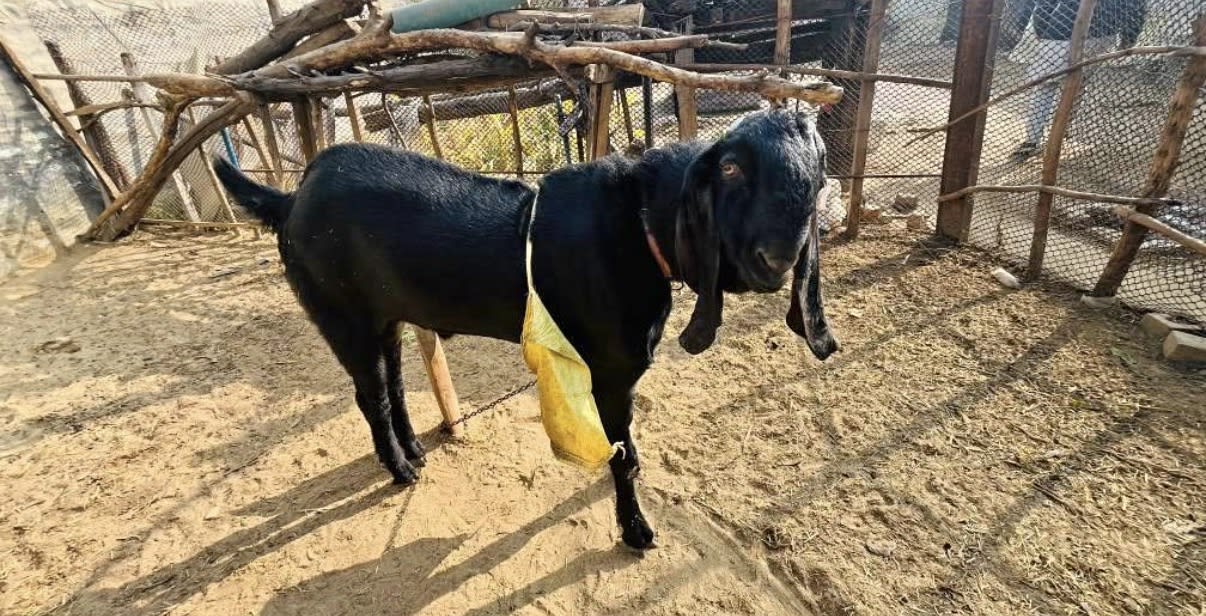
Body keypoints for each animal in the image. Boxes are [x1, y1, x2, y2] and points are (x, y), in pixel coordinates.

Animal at [214, 108, 837, 551]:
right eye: (731, 167)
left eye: (816, 173)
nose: (776, 258)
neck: (639, 226)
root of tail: (291, 197)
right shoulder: (611, 374)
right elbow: (622, 455)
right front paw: (636, 531)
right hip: (343, 317)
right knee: (371, 396)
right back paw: (400, 470)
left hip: (384, 317)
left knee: (393, 385)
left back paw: (413, 449)